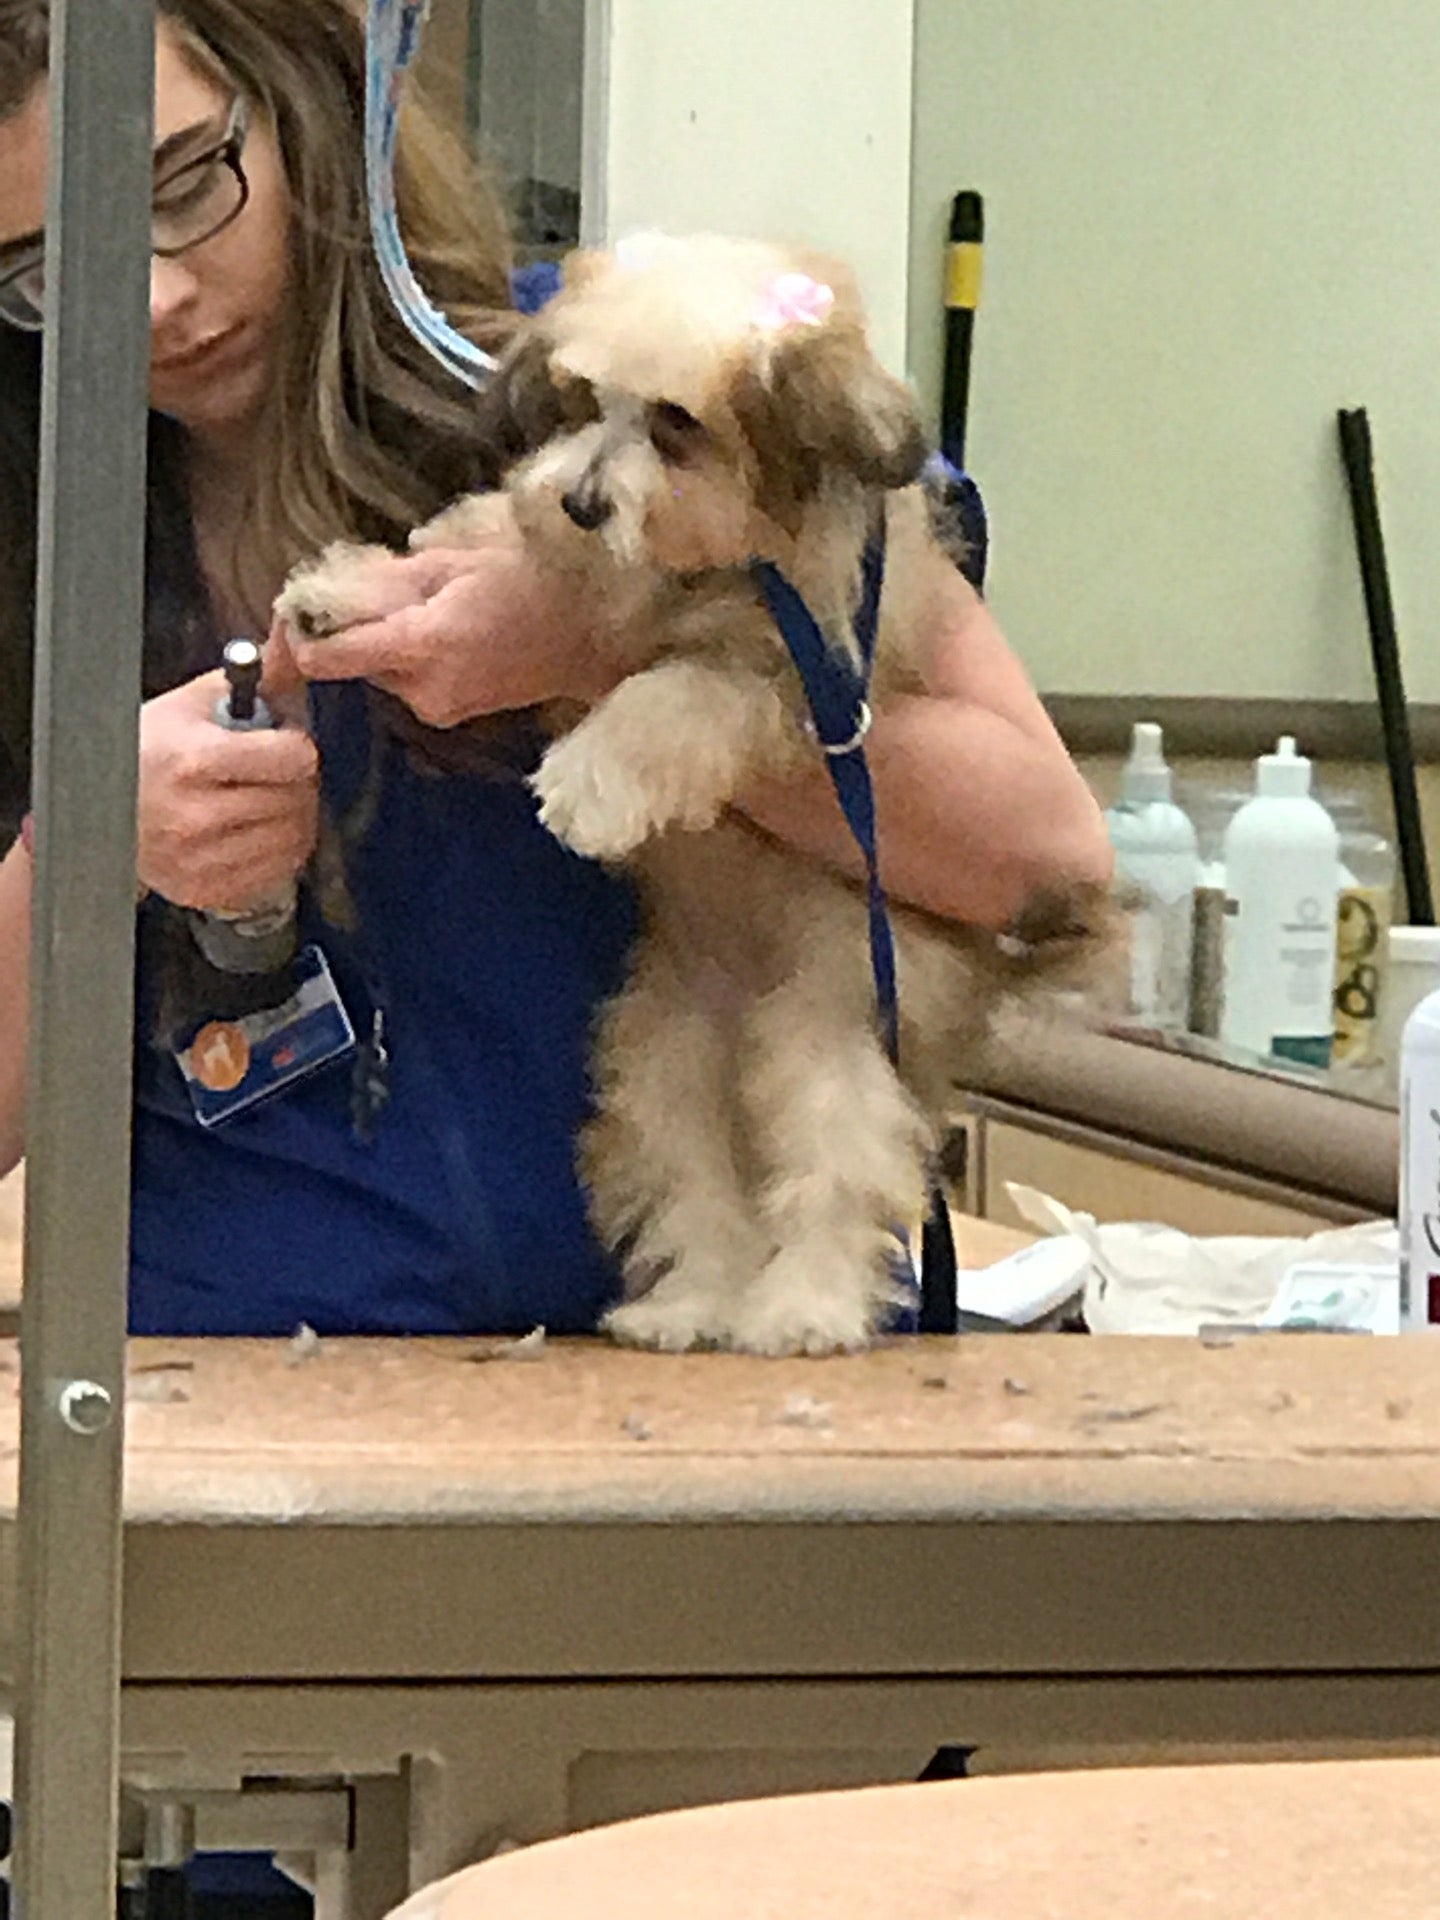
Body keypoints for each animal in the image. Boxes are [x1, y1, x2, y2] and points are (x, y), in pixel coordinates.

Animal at [276, 232, 1115, 1354]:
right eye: (583, 400)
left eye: (677, 425)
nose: (584, 504)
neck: (693, 562)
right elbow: (479, 543)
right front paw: (347, 592)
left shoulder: (789, 679)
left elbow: (670, 693)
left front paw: (587, 782)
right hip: (659, 1053)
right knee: (694, 1186)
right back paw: (688, 1306)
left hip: (833, 1028)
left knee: (839, 1167)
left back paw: (801, 1307)